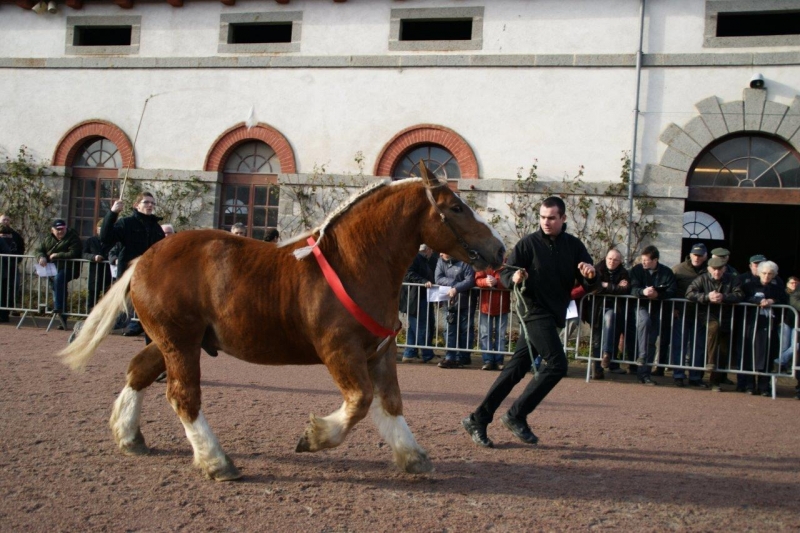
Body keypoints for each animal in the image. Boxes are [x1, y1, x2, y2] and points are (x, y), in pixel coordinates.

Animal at [59, 167, 504, 482]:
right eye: (456, 208)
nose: (498, 249)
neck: (355, 265)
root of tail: (143, 259)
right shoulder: (339, 351)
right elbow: (359, 402)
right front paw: (314, 437)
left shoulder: (380, 352)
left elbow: (390, 404)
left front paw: (413, 457)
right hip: (179, 342)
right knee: (183, 396)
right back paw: (217, 462)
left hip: (173, 340)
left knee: (138, 371)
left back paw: (128, 436)